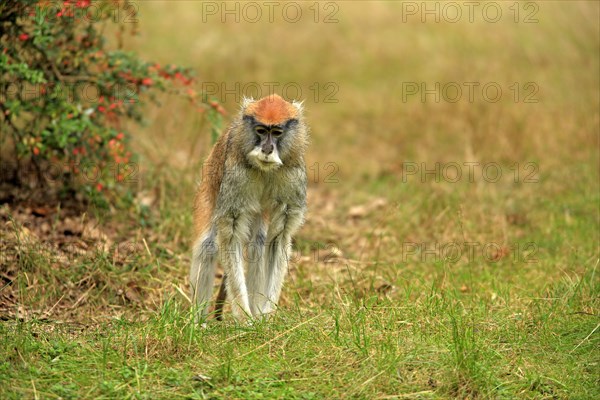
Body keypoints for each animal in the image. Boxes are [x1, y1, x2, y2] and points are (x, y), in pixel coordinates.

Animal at [189, 94, 308, 322]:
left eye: (277, 132)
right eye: (261, 130)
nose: (267, 149)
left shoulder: (292, 174)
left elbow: (278, 239)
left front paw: (267, 316)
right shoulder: (236, 176)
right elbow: (231, 237)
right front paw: (245, 319)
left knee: (258, 244)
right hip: (209, 188)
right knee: (207, 246)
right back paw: (197, 323)